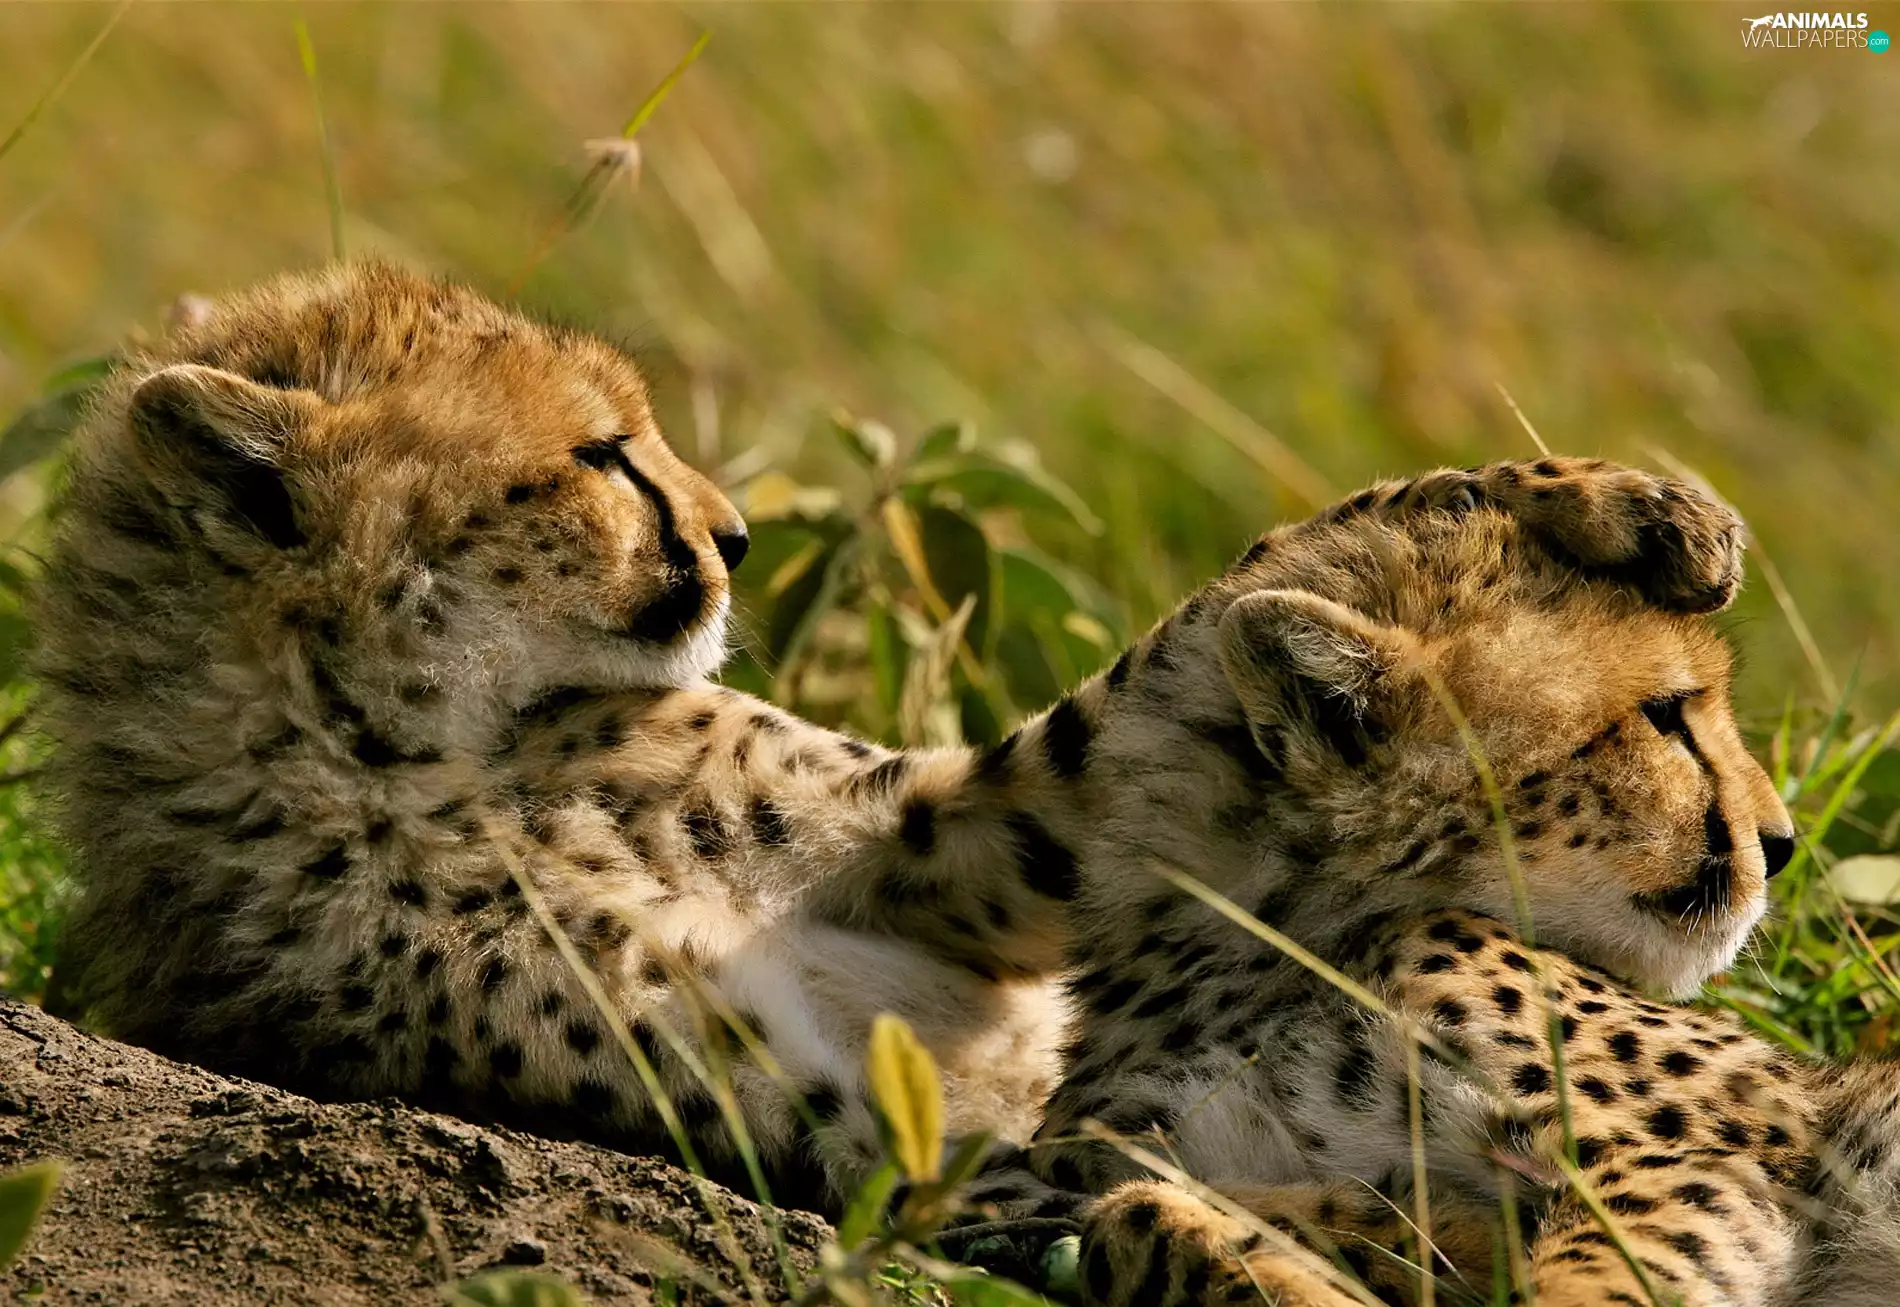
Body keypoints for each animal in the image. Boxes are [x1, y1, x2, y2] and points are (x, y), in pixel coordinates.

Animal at [34, 260, 1788, 1229]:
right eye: (603, 458)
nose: (737, 535)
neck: (438, 744)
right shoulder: (816, 1105)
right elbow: (1029, 1167)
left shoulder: (944, 845)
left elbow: (1179, 651)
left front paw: (1612, 504)